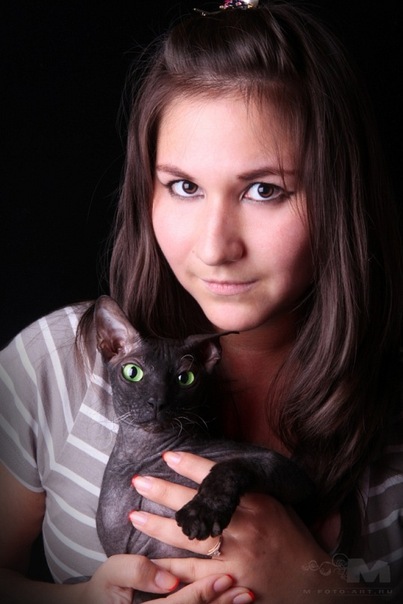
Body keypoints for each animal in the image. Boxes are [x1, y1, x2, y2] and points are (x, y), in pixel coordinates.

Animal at [95, 295, 314, 600]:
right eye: (132, 372)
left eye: (185, 378)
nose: (157, 401)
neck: (147, 455)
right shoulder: (126, 565)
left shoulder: (297, 481)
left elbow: (232, 466)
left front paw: (202, 511)